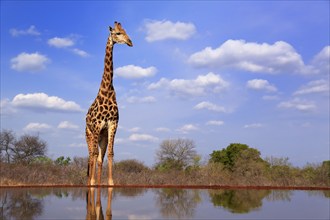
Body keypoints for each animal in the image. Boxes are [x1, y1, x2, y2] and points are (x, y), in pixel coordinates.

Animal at [85, 21, 133, 186]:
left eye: (125, 31)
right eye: (117, 33)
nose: (130, 42)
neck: (107, 91)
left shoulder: (112, 124)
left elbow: (110, 154)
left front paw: (110, 183)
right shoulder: (97, 126)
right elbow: (93, 155)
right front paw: (93, 183)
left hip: (102, 138)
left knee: (99, 158)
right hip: (89, 135)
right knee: (91, 156)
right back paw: (90, 182)